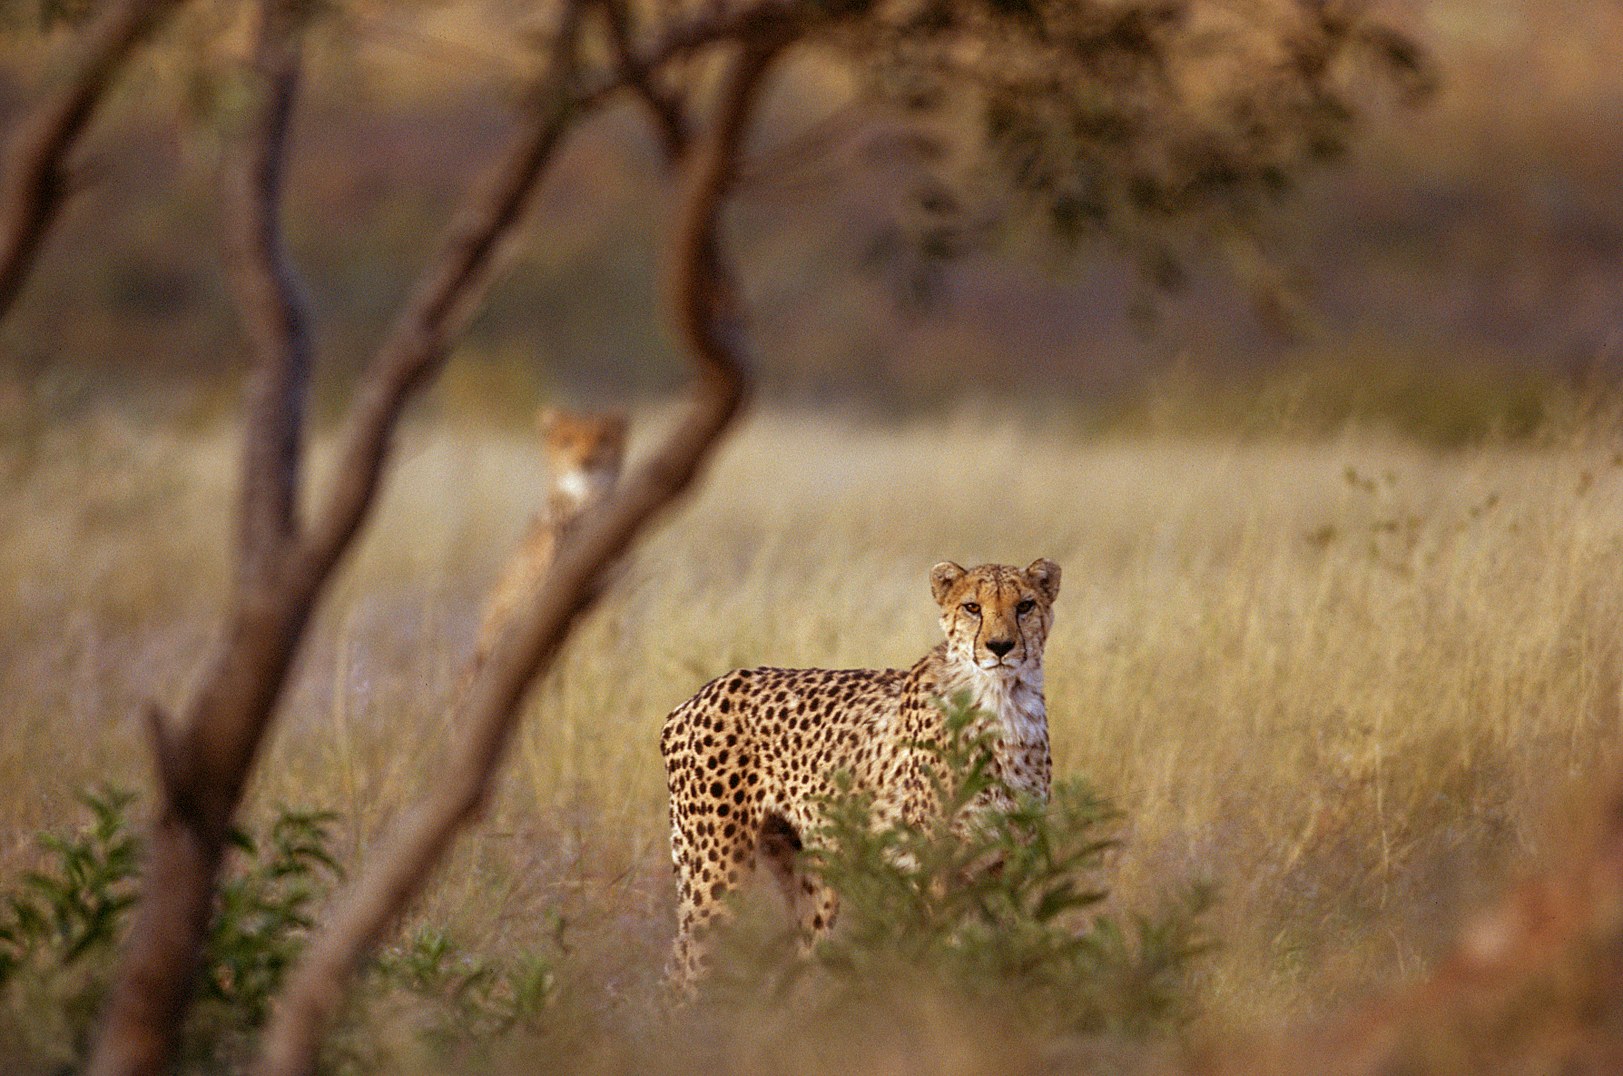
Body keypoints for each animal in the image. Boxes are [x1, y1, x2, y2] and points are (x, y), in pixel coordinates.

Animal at [659, 557, 1062, 991]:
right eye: (972, 607)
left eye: (1024, 606)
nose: (1000, 647)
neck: (1001, 702)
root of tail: (701, 692)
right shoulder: (936, 860)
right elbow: (946, 946)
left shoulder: (1007, 858)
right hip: (717, 872)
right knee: (687, 967)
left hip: (809, 873)